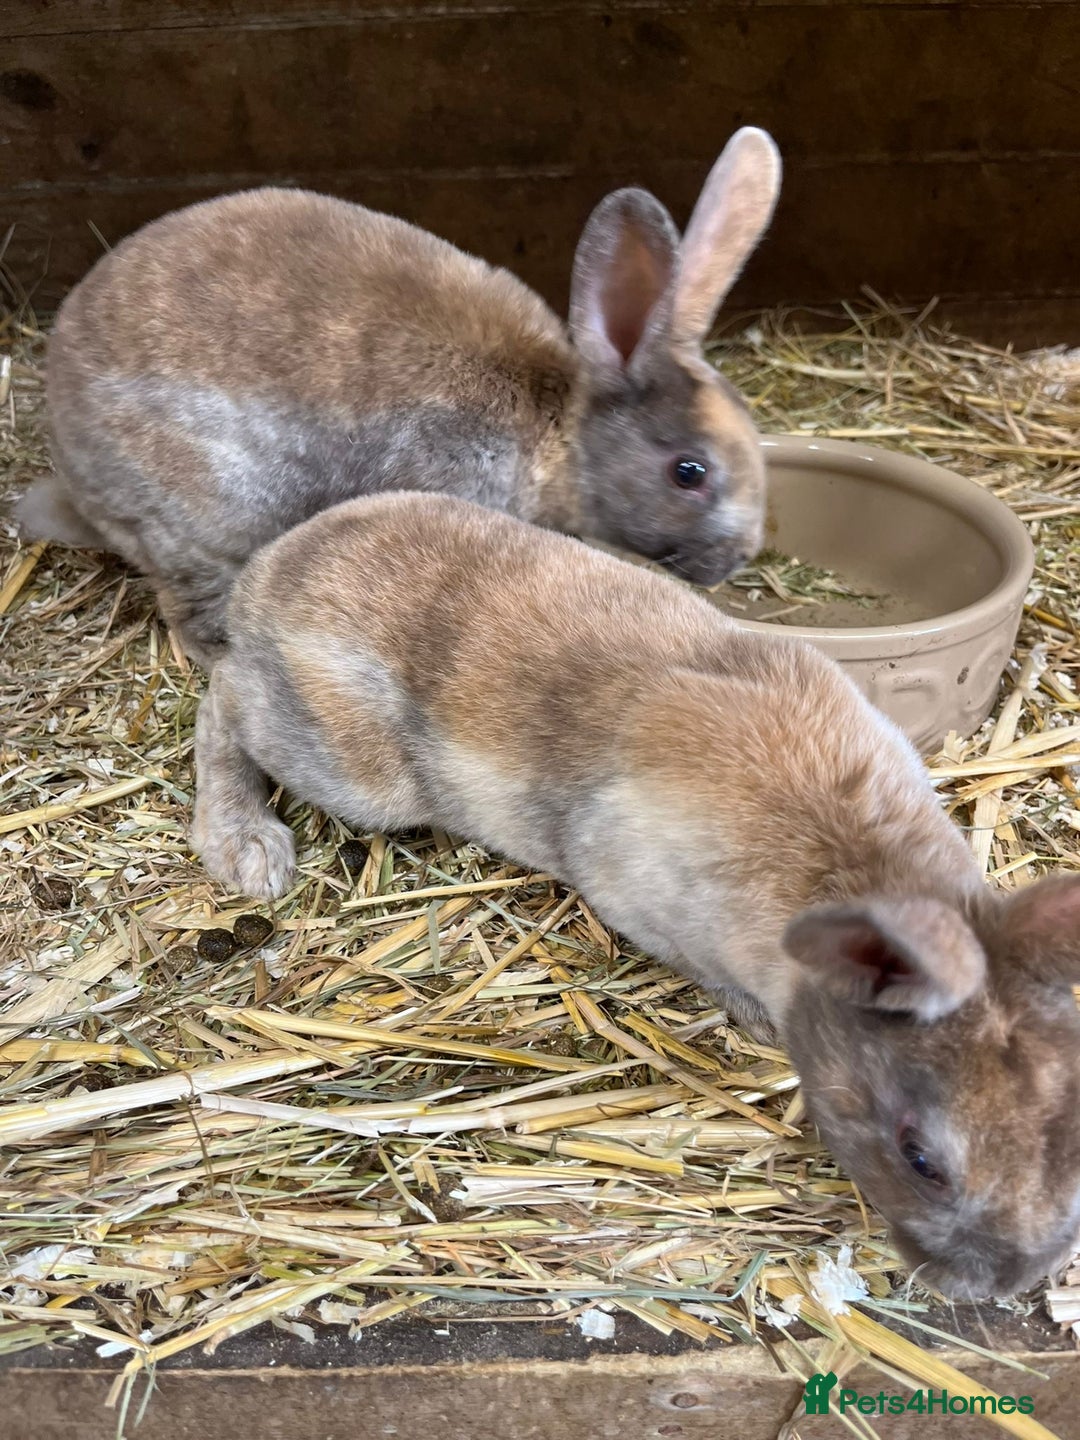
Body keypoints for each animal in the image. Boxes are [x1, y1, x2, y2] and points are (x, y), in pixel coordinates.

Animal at [190, 490, 1080, 1300]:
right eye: (920, 1158)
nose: (1009, 1283)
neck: (856, 866)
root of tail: (269, 574)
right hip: (349, 768)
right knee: (224, 698)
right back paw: (247, 847)